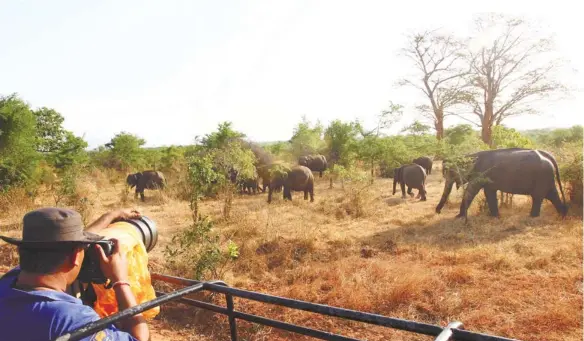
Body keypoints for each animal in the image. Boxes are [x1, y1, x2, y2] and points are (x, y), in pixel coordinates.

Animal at [436, 147, 568, 218]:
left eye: (450, 172)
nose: (438, 212)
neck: (471, 155)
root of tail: (549, 156)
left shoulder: (481, 173)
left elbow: (471, 191)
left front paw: (458, 217)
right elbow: (489, 193)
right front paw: (495, 217)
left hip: (542, 176)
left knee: (538, 196)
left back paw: (532, 217)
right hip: (547, 177)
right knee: (552, 194)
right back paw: (562, 215)